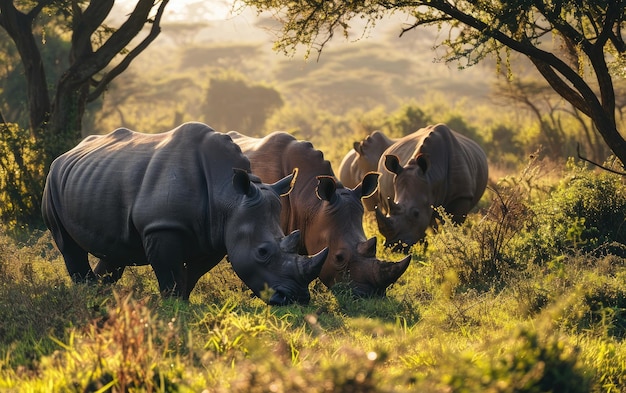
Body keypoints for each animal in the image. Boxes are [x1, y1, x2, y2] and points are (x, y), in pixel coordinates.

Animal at [42, 121, 326, 304]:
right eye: (262, 252)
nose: (297, 298)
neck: (229, 196)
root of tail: (67, 153)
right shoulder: (162, 226)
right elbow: (169, 272)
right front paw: (173, 306)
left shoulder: (216, 235)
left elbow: (191, 274)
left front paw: (184, 301)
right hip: (52, 182)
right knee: (68, 246)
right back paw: (86, 291)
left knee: (115, 251)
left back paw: (100, 293)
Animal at [370, 123, 488, 251]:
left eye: (416, 213)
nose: (394, 246)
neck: (432, 176)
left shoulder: (462, 196)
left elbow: (454, 226)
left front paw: (454, 247)